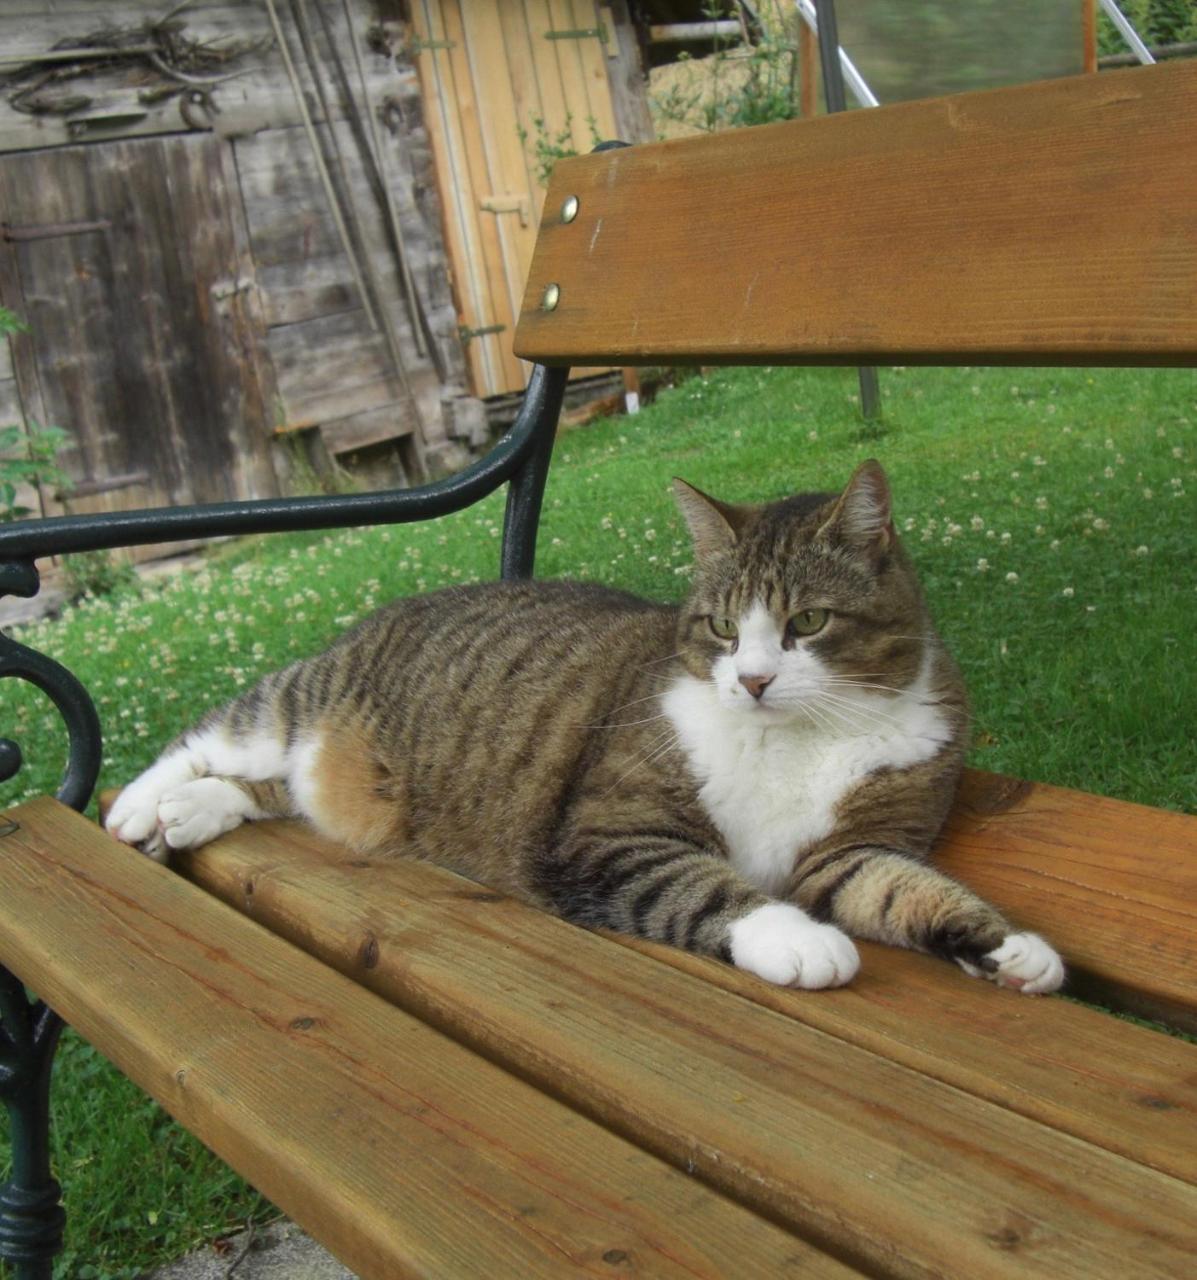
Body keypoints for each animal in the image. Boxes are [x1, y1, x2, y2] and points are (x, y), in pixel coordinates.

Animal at [110, 465, 1065, 993]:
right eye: (723, 628)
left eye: (807, 622)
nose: (753, 679)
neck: (801, 733)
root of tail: (381, 611)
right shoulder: (609, 833)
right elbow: (701, 886)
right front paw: (797, 940)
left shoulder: (853, 848)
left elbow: (904, 888)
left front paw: (1009, 948)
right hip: (303, 703)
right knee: (215, 737)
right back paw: (138, 806)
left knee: (274, 790)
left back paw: (190, 814)